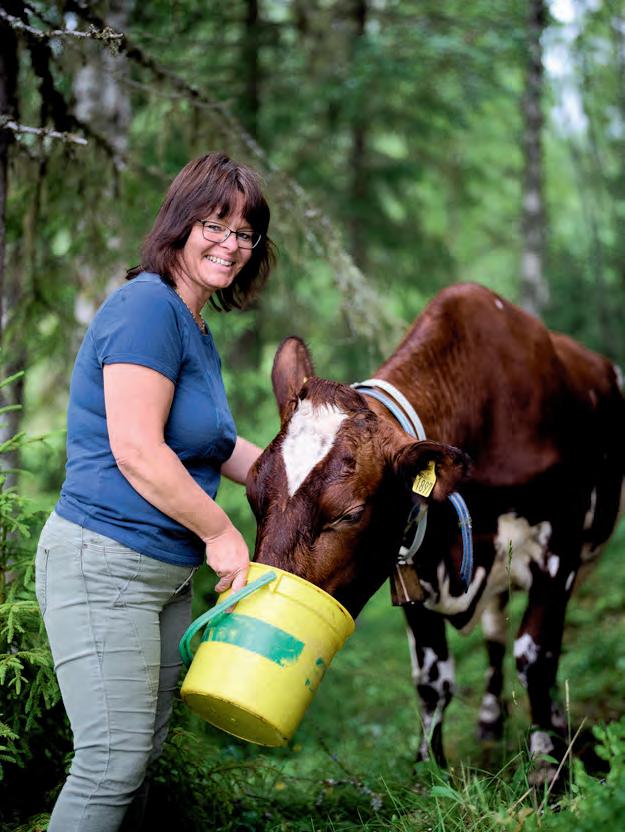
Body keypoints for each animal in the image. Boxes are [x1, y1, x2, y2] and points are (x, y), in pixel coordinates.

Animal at [246, 282, 625, 782]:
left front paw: (547, 765)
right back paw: (490, 720)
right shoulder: (413, 567)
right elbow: (433, 678)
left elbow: (535, 657)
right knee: (494, 632)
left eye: (349, 513)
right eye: (251, 490)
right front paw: (430, 769)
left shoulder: (557, 554)